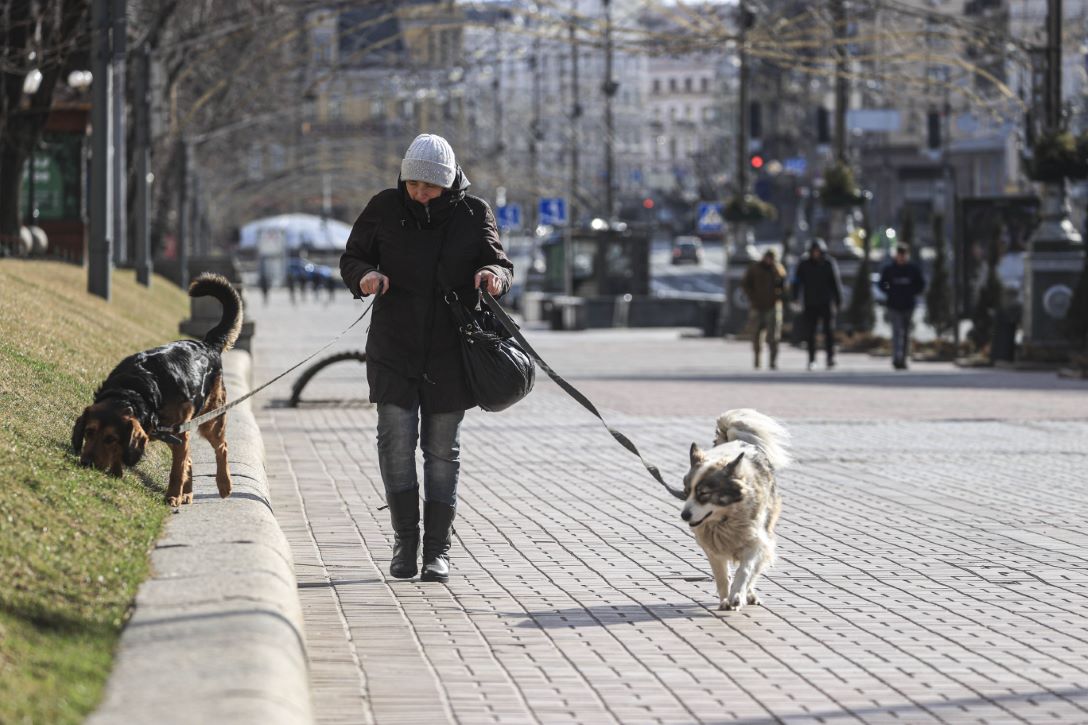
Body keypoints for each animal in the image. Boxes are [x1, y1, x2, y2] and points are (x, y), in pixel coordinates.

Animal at [75, 274, 245, 505]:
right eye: (89, 432)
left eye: (110, 438)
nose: (86, 463)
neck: (135, 390)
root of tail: (208, 345)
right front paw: (116, 472)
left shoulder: (180, 433)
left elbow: (176, 470)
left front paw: (172, 495)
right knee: (190, 459)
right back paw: (188, 492)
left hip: (210, 421)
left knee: (221, 448)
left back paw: (224, 484)